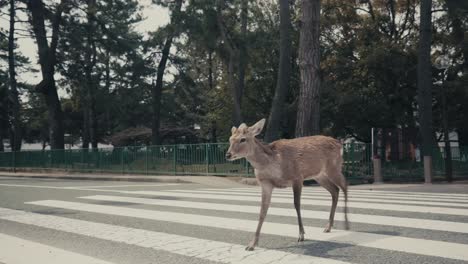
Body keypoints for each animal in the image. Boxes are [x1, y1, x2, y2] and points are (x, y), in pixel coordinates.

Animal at [225, 118, 350, 251]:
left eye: (243, 139)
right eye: (230, 139)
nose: (228, 154)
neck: (275, 164)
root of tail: (339, 144)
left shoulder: (297, 177)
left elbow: (297, 204)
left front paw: (301, 235)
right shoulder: (266, 184)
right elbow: (262, 211)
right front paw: (251, 244)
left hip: (334, 167)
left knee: (345, 186)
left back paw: (346, 224)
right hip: (319, 175)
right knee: (335, 190)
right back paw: (328, 227)